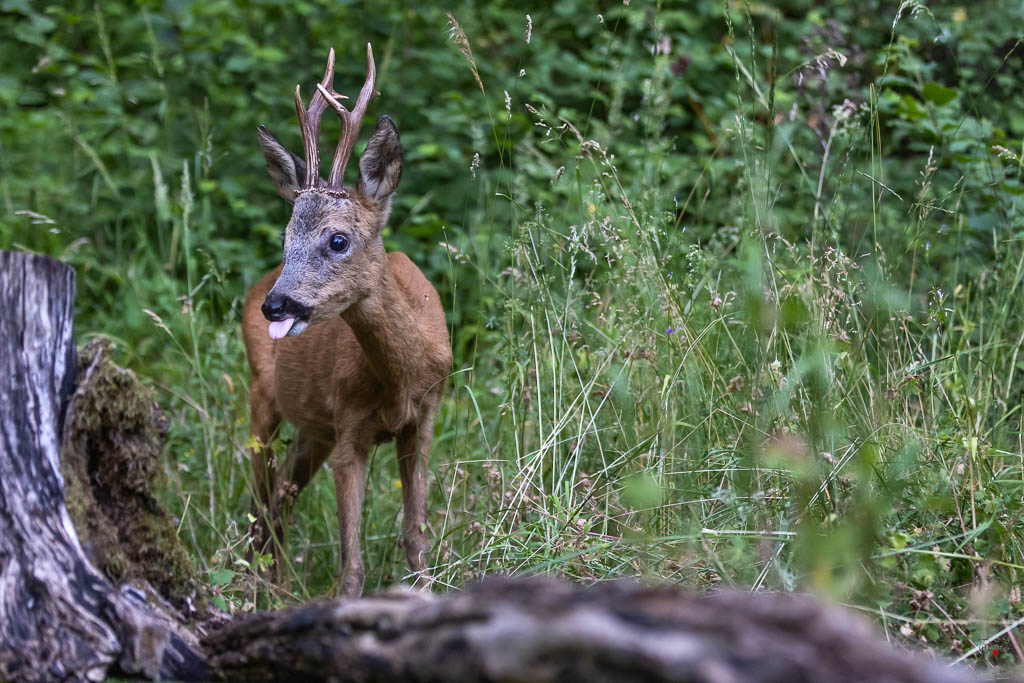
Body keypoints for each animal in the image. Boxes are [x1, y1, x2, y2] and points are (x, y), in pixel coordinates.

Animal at [242, 44, 451, 597]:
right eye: (286, 235)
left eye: (337, 239)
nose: (277, 306)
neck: (400, 377)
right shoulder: (350, 427)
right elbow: (351, 566)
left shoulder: (424, 417)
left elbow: (416, 537)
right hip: (263, 398)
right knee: (259, 505)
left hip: (314, 431)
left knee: (280, 501)